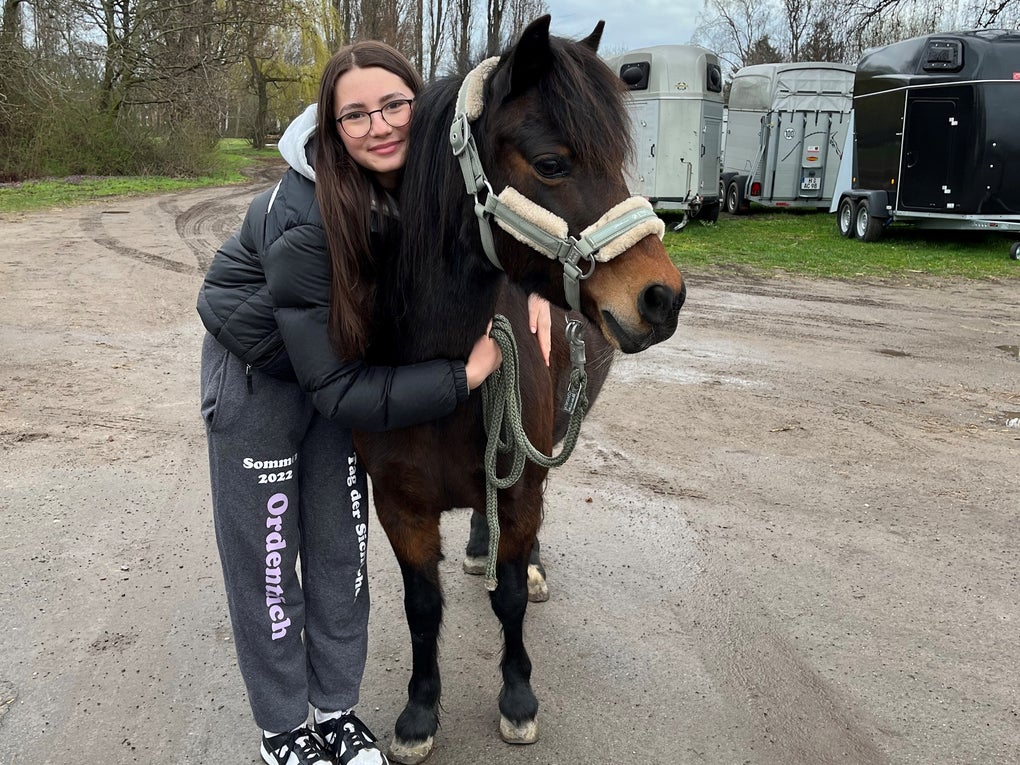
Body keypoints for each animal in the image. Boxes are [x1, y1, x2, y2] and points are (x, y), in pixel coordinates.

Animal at [353, 16, 686, 763]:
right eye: (553, 163)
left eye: (619, 158)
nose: (663, 297)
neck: (441, 369)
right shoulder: (399, 507)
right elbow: (423, 608)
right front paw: (420, 710)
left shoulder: (520, 484)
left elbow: (505, 600)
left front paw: (517, 697)